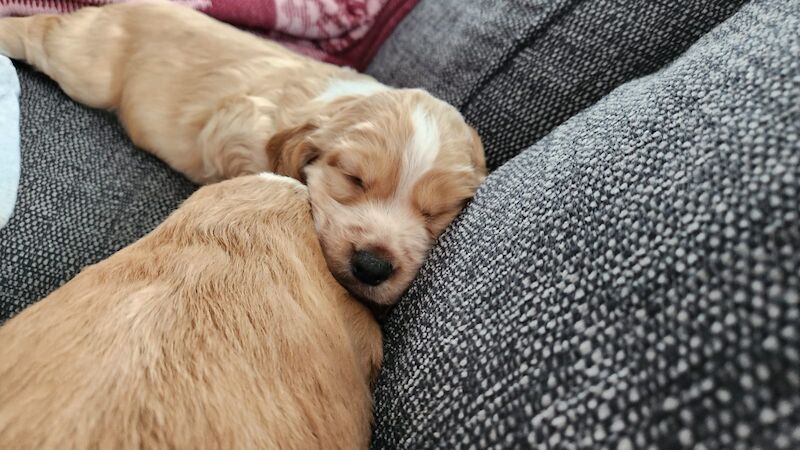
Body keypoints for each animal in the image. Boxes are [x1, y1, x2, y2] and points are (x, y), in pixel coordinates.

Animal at [0, 0, 488, 306]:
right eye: (353, 179)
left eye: (436, 213)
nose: (371, 267)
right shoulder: (233, 123)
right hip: (85, 68)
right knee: (41, 34)